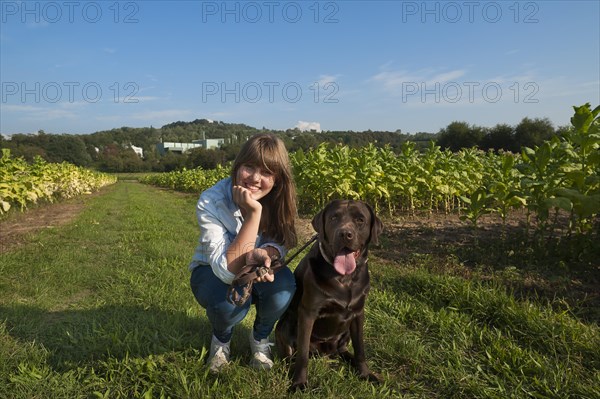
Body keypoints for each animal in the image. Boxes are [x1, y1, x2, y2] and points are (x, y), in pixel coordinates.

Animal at [274, 198, 382, 392]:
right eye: (334, 218)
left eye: (360, 220)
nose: (345, 234)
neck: (344, 278)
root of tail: (322, 352)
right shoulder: (308, 313)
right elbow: (302, 355)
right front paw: (299, 382)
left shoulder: (358, 313)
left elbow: (360, 348)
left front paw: (365, 374)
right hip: (283, 326)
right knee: (290, 355)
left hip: (345, 333)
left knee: (343, 350)